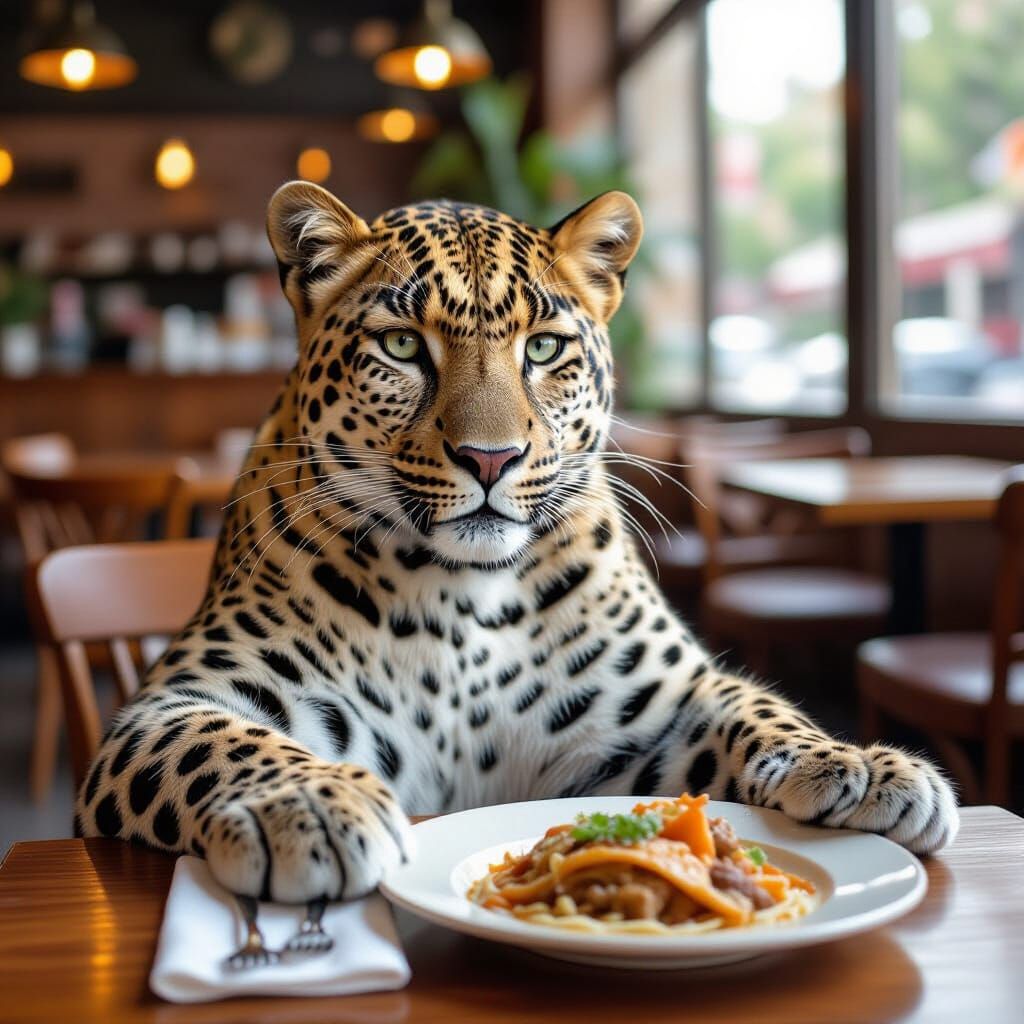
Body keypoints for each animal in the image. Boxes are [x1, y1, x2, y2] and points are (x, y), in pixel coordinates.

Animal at [75, 182, 959, 903]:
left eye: (543, 348)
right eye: (402, 346)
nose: (490, 458)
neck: (463, 596)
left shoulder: (656, 712)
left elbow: (756, 706)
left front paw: (858, 764)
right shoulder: (172, 703)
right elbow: (225, 741)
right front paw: (304, 808)